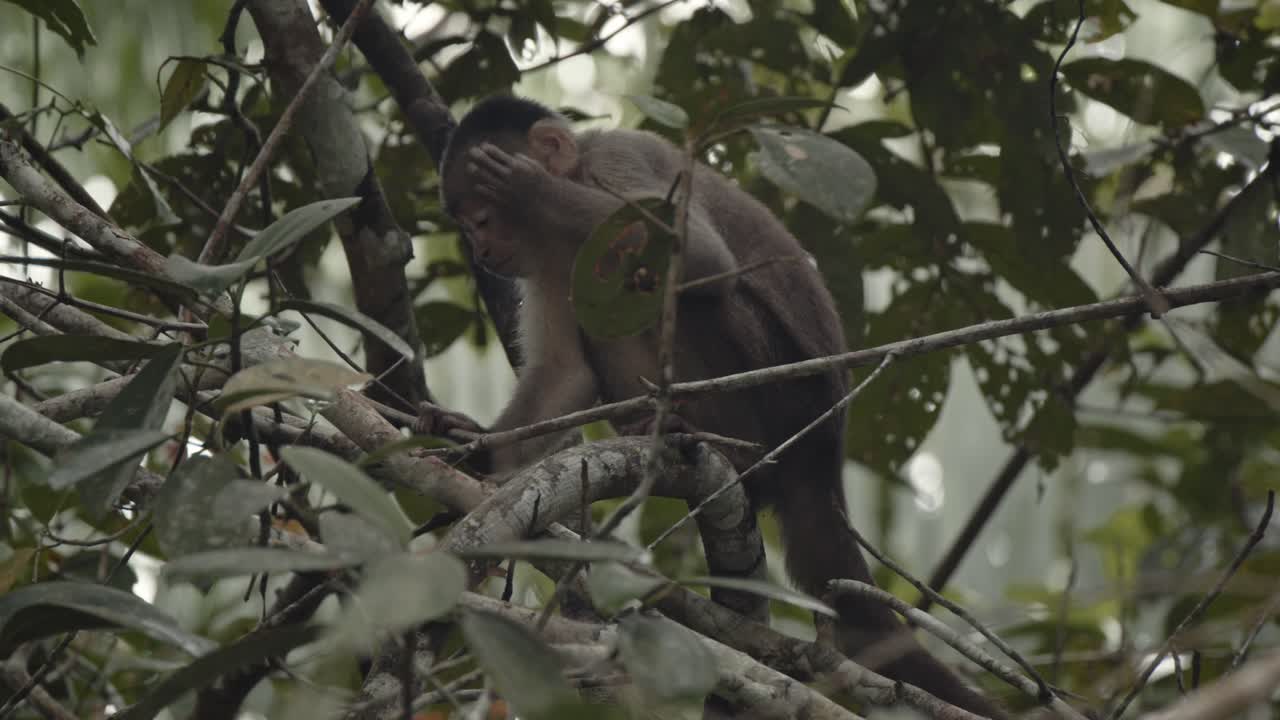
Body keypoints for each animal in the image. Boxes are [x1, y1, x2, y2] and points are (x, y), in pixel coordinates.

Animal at [428, 95, 1007, 719]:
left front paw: (530, 190)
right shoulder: (549, 261)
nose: (482, 250)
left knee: (690, 292)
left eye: (483, 219)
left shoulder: (618, 163)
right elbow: (565, 374)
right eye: (470, 228)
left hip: (788, 402)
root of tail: (825, 457)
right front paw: (475, 451)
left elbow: (701, 259)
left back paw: (715, 446)